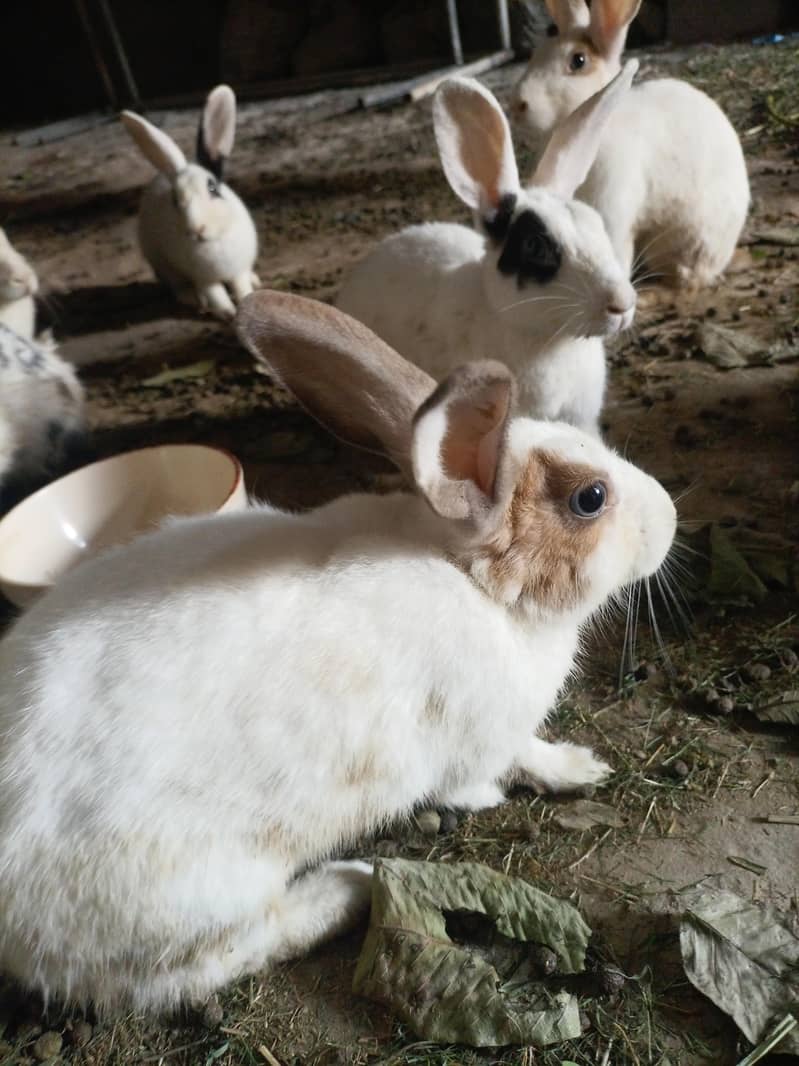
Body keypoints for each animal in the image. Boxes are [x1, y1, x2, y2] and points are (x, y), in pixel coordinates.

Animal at [121, 85, 260, 321]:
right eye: (175, 199)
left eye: (212, 188)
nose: (196, 228)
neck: (212, 242)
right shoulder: (204, 279)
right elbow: (216, 295)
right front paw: (228, 314)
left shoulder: (238, 269)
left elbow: (242, 287)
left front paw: (245, 300)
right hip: (164, 265)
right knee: (178, 286)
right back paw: (193, 300)